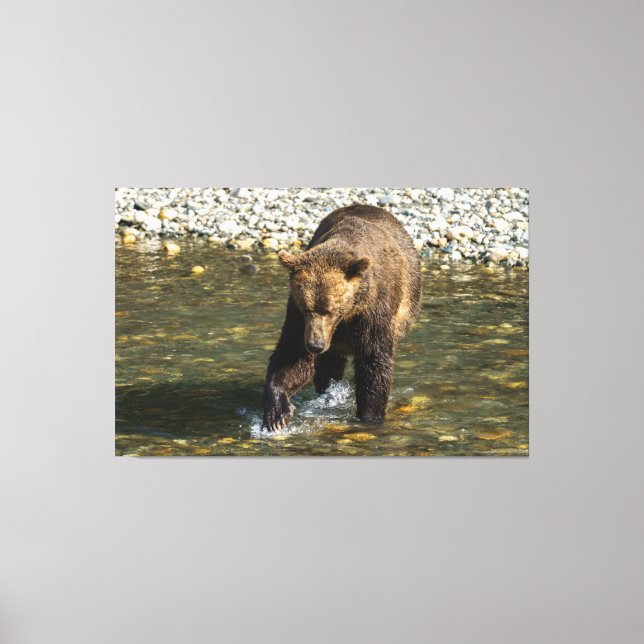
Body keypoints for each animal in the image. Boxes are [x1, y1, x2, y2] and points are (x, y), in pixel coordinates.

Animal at [262, 204, 422, 432]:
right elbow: (292, 354)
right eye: (307, 308)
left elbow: (374, 359)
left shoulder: (374, 309)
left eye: (330, 309)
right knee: (328, 367)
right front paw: (277, 413)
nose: (315, 345)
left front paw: (369, 416)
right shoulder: (297, 314)